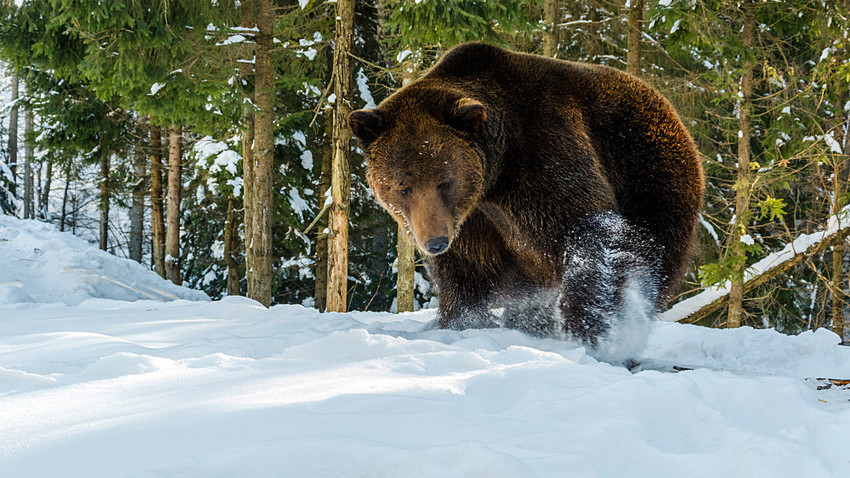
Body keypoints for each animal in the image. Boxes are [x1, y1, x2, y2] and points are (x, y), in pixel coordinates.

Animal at [346, 42, 704, 362]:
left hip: (649, 174)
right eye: (403, 186)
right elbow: (466, 274)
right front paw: (462, 323)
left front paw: (599, 333)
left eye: (444, 182)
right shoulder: (473, 223)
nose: (434, 242)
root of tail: (668, 108)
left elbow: (590, 231)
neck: (494, 177)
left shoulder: (541, 161)